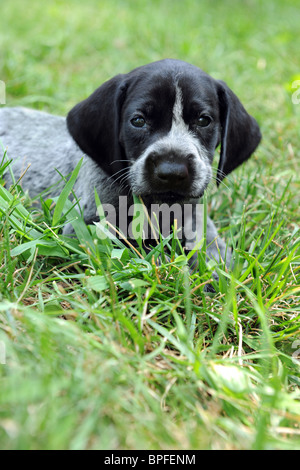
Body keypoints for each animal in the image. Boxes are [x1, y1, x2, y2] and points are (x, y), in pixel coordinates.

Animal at [0, 59, 262, 268]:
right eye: (138, 121)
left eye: (203, 120)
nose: (172, 171)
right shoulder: (88, 228)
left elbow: (206, 240)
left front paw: (217, 268)